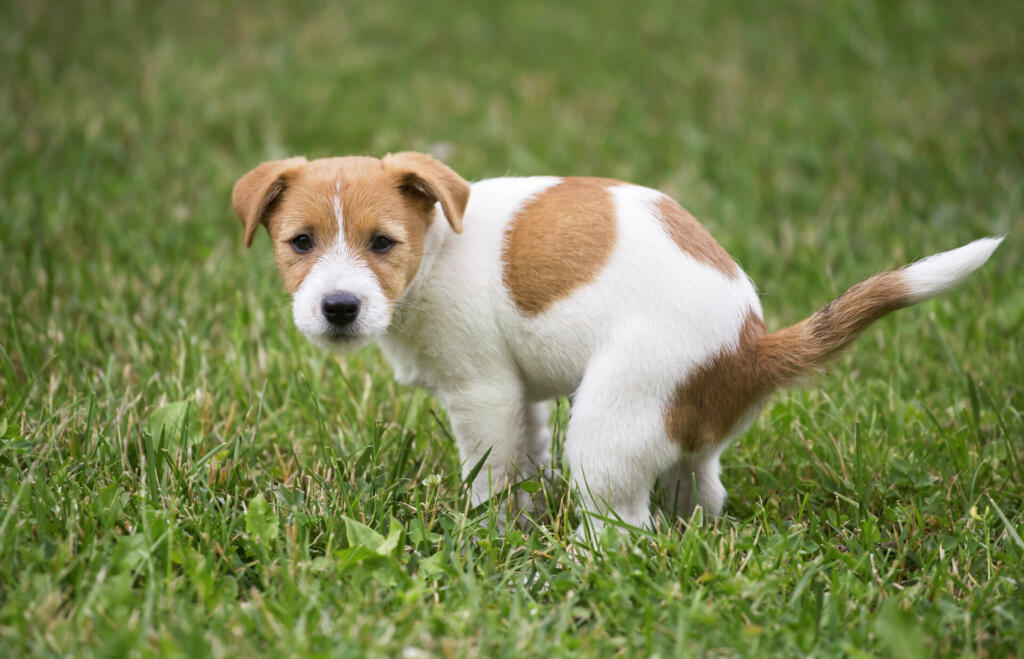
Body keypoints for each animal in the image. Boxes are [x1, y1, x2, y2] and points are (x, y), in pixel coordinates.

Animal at [230, 155, 999, 536]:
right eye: (300, 242)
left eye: (383, 243)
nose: (339, 308)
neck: (438, 245)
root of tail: (751, 345)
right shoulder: (521, 397)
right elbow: (525, 459)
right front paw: (522, 521)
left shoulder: (483, 393)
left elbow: (491, 475)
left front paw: (491, 537)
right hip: (678, 430)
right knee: (699, 493)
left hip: (607, 429)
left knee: (626, 530)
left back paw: (579, 563)